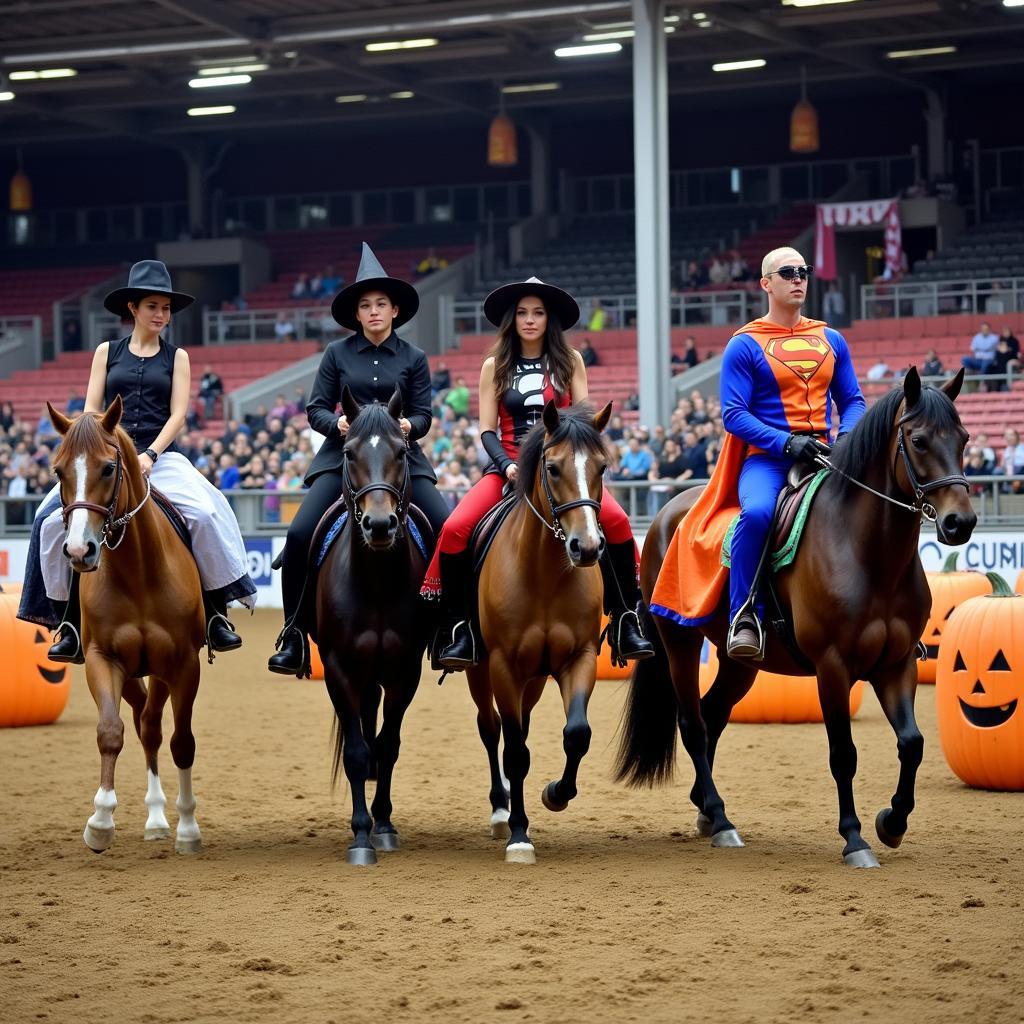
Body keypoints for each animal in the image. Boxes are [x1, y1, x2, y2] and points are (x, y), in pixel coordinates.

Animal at [48, 397, 205, 856]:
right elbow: (110, 732)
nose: (79, 550)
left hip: (162, 672)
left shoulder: (184, 665)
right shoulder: (103, 659)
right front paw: (100, 821)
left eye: (107, 468)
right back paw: (154, 818)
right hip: (135, 672)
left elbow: (182, 742)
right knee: (144, 726)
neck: (137, 572)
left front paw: (189, 829)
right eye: (58, 471)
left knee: (153, 727)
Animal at [468, 399, 610, 864]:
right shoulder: (502, 666)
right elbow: (513, 752)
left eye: (602, 466)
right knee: (491, 728)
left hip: (533, 679)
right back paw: (501, 811)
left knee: (524, 729)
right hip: (481, 672)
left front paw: (556, 793)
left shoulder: (579, 658)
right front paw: (518, 835)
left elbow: (577, 734)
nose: (587, 547)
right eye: (552, 468)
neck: (545, 574)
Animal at [614, 368, 974, 864]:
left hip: (739, 663)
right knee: (693, 724)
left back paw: (707, 809)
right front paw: (855, 839)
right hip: (679, 644)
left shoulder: (896, 664)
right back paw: (721, 820)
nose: (961, 523)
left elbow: (912, 743)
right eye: (918, 440)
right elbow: (843, 753)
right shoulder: (833, 667)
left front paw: (892, 822)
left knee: (712, 714)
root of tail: (668, 512)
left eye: (964, 438)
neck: (868, 554)